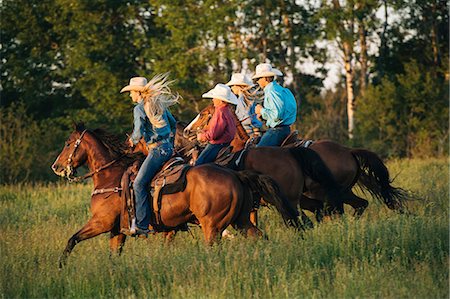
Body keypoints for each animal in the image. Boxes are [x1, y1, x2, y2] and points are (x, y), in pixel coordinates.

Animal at [51, 123, 300, 268]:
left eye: (67, 143)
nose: (56, 167)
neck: (110, 177)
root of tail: (235, 174)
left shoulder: (100, 223)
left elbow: (72, 239)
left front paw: (61, 266)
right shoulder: (116, 231)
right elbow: (113, 256)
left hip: (212, 227)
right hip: (240, 221)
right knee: (260, 236)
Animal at [185, 105, 412, 218]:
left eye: (204, 114)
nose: (187, 131)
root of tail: (348, 151)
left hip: (332, 193)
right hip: (342, 191)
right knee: (359, 205)